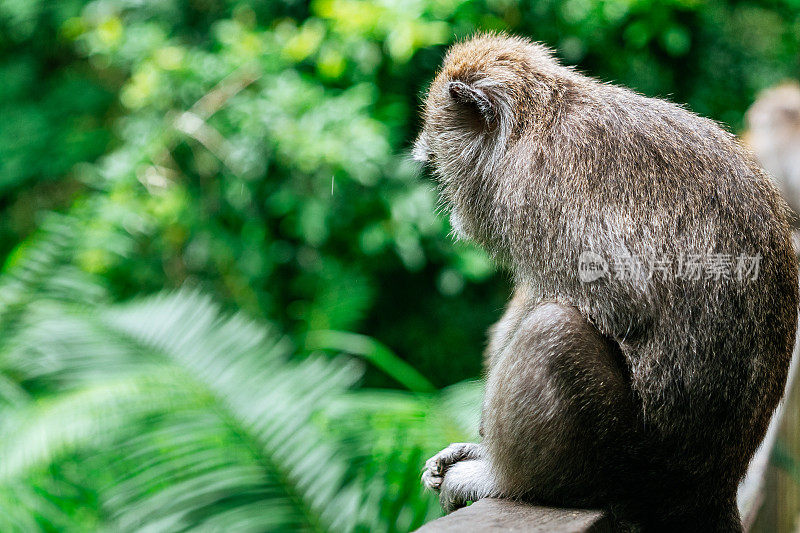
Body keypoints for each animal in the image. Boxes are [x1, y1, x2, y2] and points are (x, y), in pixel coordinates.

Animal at [416, 35, 796, 528]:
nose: (452, 211)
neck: (534, 120)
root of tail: (712, 485)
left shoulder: (535, 191)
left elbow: (624, 304)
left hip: (628, 462)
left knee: (553, 330)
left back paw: (501, 481)